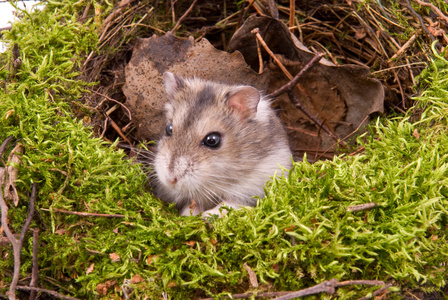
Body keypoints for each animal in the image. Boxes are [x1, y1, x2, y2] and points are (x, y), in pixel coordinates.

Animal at [153, 72, 294, 216]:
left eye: (212, 140)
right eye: (169, 129)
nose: (170, 180)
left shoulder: (253, 188)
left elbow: (230, 204)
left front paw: (207, 215)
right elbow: (192, 203)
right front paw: (190, 214)